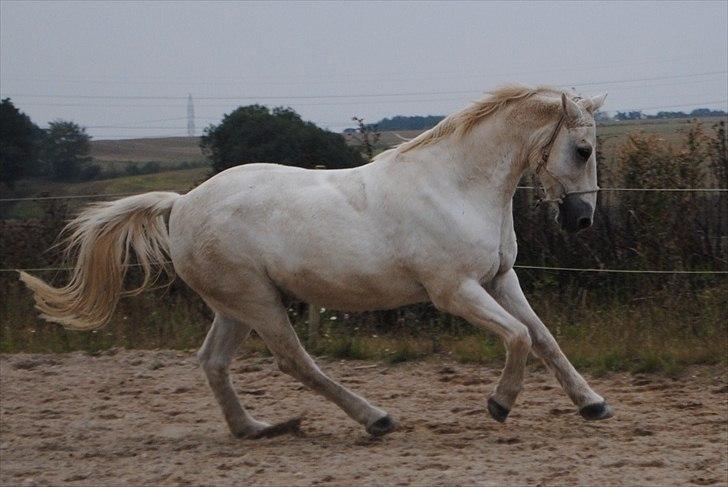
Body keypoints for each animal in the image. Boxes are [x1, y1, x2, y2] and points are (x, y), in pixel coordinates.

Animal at [21, 86, 616, 440]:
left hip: (234, 306)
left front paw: (593, 404)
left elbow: (543, 338)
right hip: (258, 302)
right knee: (296, 362)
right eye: (583, 150)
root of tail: (182, 204)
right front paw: (499, 404)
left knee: (213, 362)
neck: (454, 185)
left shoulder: (498, 278)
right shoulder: (454, 290)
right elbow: (517, 337)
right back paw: (375, 418)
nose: (582, 219)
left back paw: (254, 428)